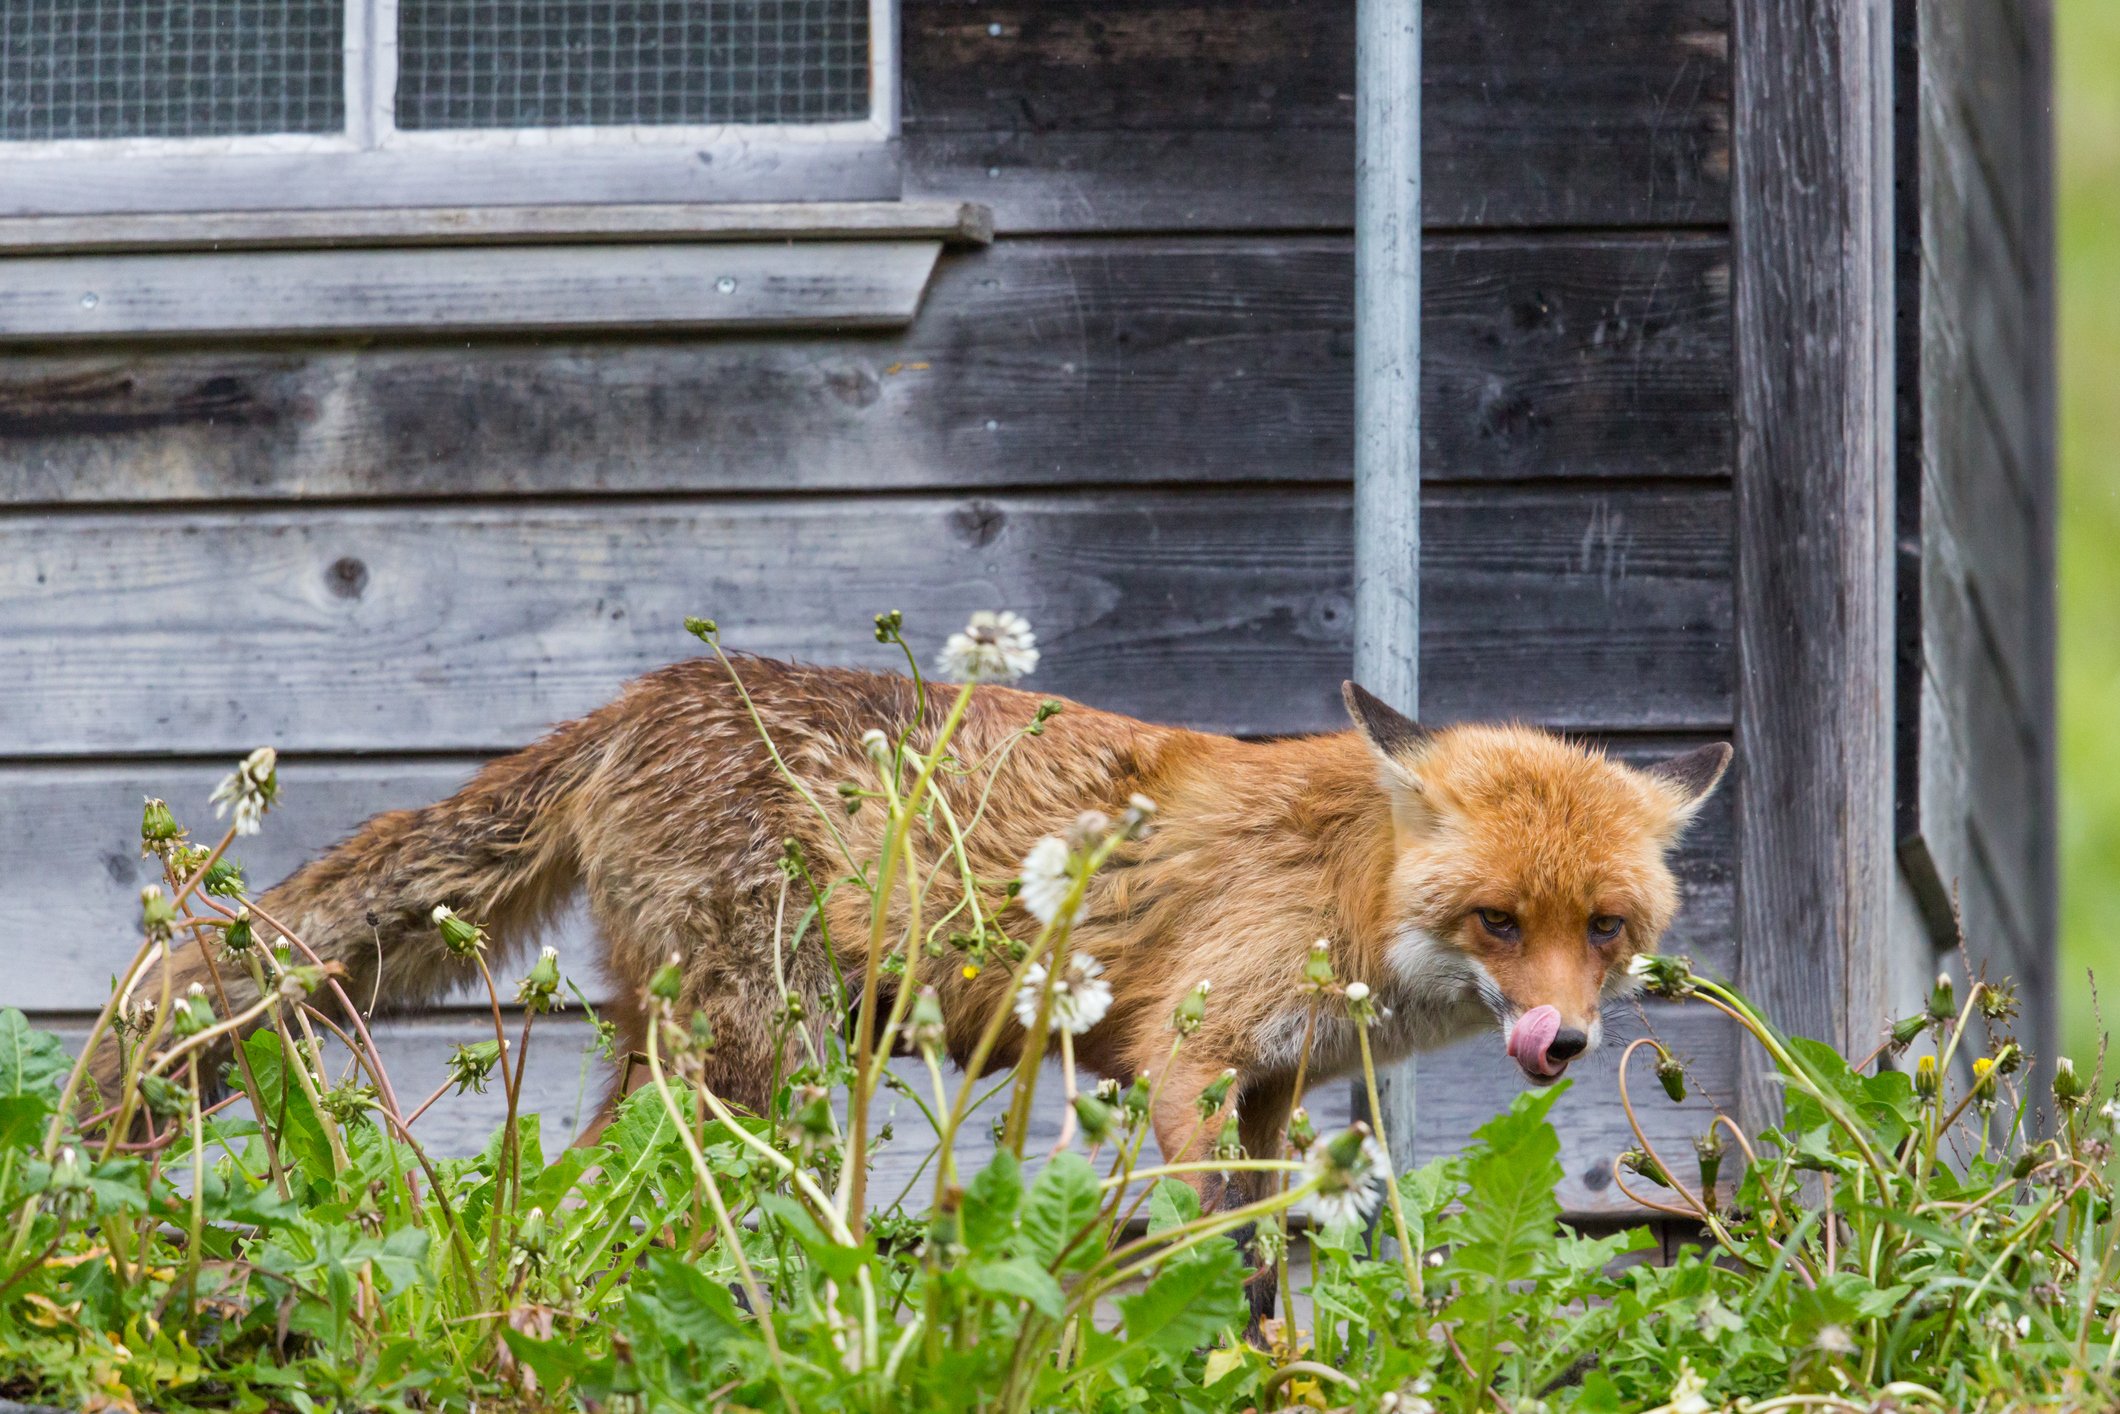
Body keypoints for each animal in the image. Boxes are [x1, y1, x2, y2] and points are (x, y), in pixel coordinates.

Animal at [140, 652, 1721, 1204]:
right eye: (1497, 919)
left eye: (1606, 926)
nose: (1563, 1041)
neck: (1340, 890)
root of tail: (648, 694)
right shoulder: (1186, 1059)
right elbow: (1209, 1247)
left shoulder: (1274, 1088)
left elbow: (1278, 1252)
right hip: (744, 1057)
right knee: (586, 1199)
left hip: (691, 1048)